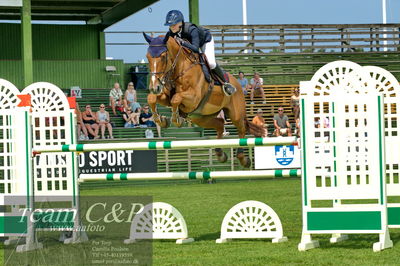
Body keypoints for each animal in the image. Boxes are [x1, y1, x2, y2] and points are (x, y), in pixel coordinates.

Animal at [142, 32, 264, 166]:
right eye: (148, 57)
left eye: (163, 57)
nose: (154, 87)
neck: (180, 69)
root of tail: (237, 83)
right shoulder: (166, 97)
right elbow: (152, 98)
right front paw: (161, 120)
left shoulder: (193, 99)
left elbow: (176, 98)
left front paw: (176, 119)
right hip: (201, 118)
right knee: (220, 125)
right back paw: (220, 154)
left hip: (235, 114)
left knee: (241, 129)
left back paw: (243, 159)